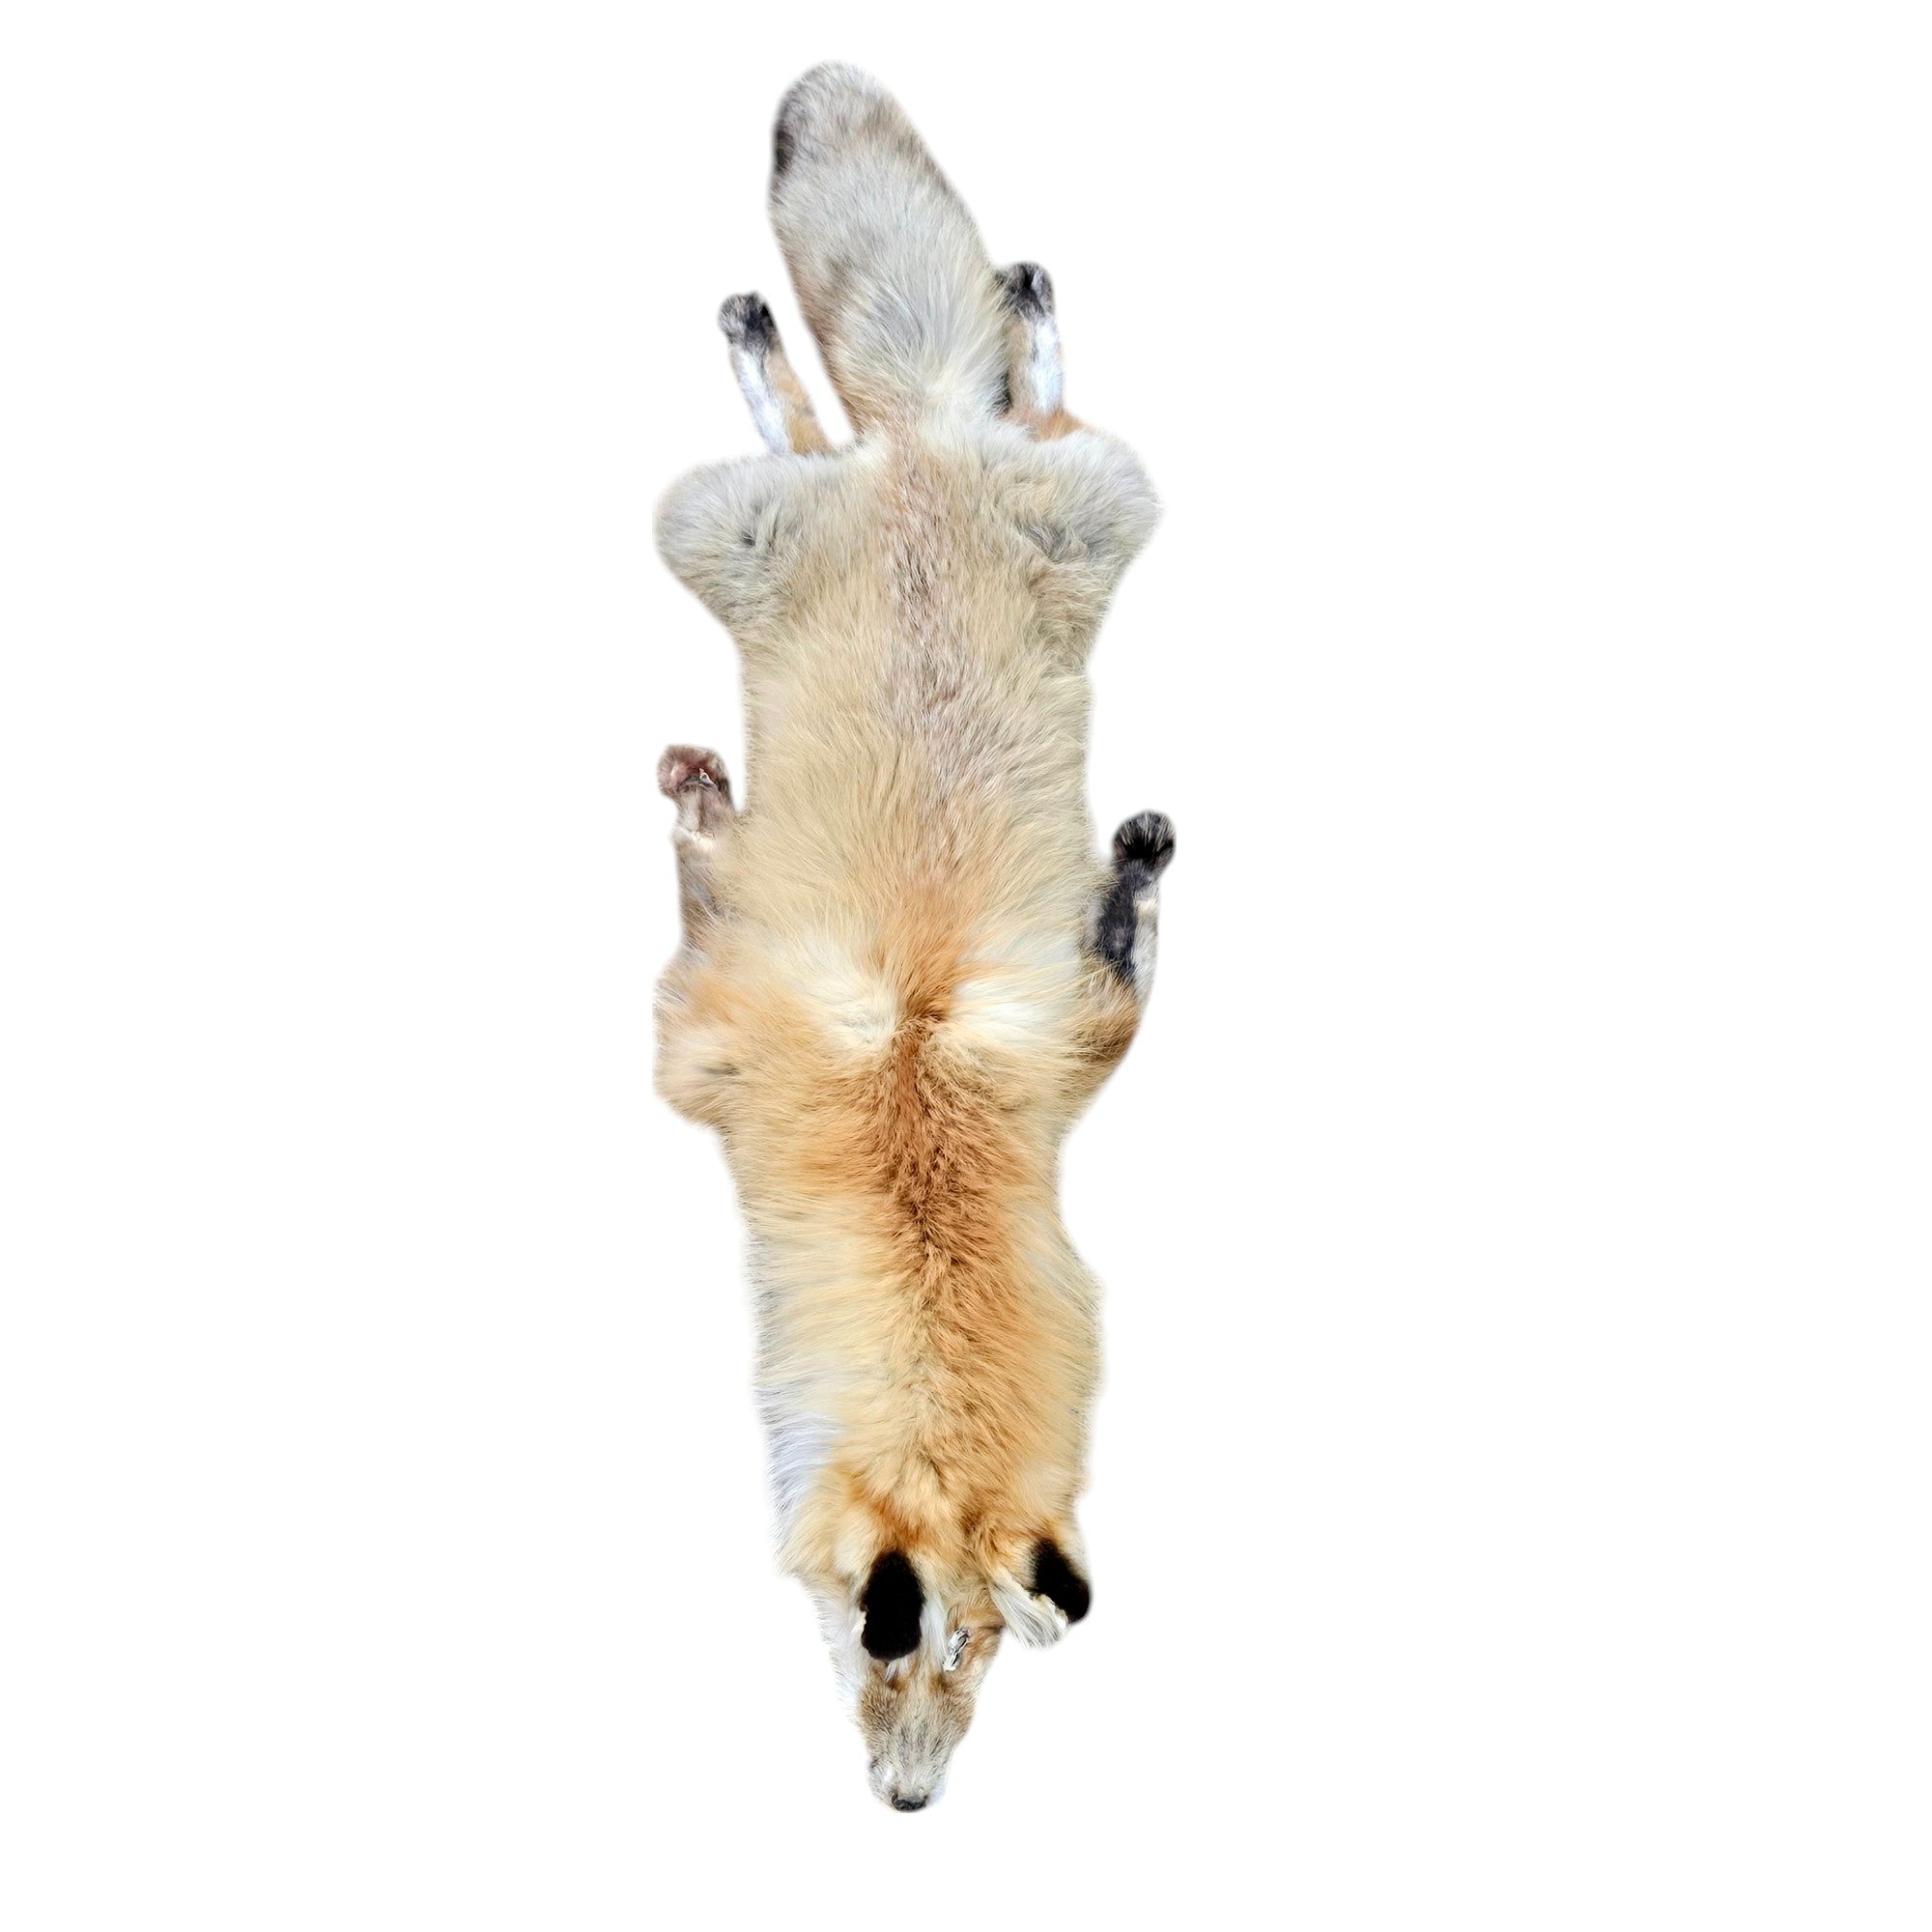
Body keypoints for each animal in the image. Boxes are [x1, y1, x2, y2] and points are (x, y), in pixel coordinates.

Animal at [653, 64, 1172, 1810]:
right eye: (890, 1651)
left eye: (983, 1663)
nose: (909, 1802)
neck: (915, 1084)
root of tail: (925, 455)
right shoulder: (699, 1039)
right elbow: (700, 893)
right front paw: (698, 808)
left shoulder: (1076, 1037)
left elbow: (1131, 950)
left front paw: (1141, 869)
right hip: (703, 520)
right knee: (826, 423)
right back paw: (786, 338)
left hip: (1095, 501)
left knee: (987, 415)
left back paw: (1008, 322)